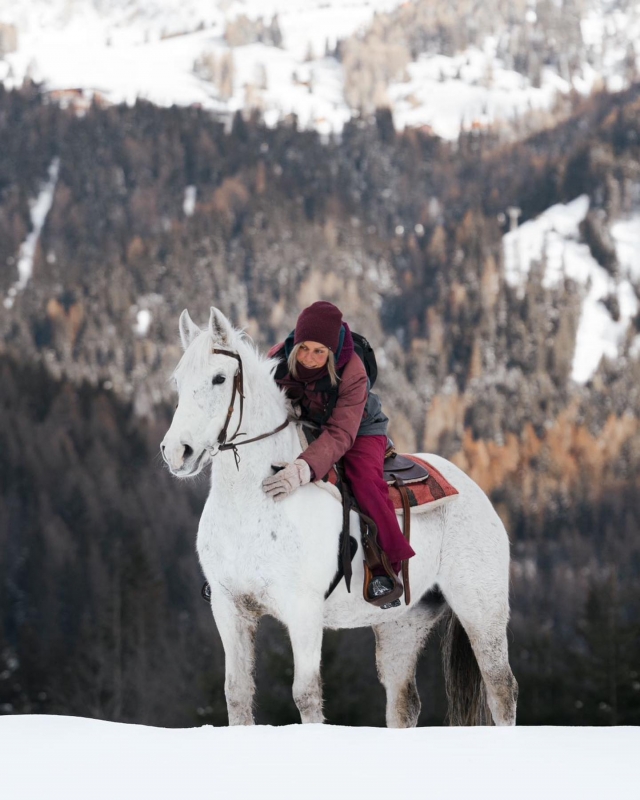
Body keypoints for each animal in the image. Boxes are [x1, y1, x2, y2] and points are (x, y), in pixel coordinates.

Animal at [160, 307, 518, 727]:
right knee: (404, 704)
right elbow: (237, 694)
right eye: (178, 380)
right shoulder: (230, 609)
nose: (176, 452)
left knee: (501, 689)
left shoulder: (303, 610)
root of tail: (475, 491)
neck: (252, 505)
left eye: (219, 377)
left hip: (481, 608)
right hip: (403, 622)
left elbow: (306, 696)